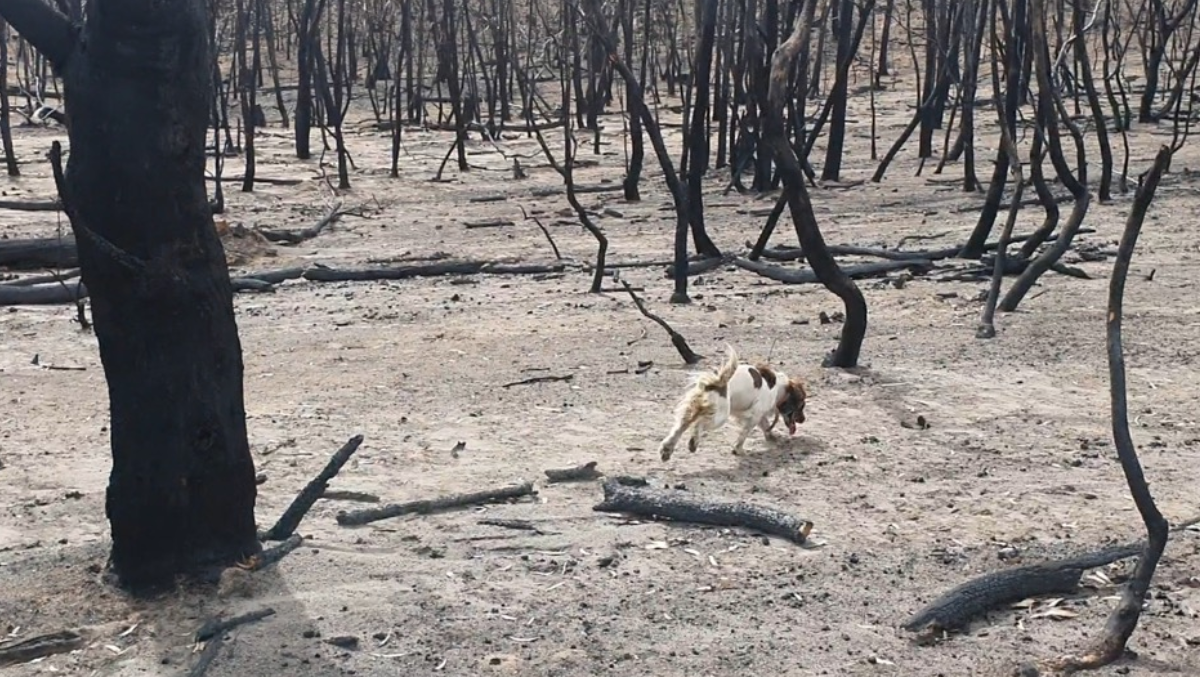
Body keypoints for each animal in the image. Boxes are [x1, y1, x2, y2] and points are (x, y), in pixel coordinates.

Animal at [657, 345, 806, 463]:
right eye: (802, 405)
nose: (803, 420)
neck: (779, 388)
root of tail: (718, 382)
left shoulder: (758, 415)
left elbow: (766, 427)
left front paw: (772, 438)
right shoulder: (754, 415)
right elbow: (744, 434)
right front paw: (738, 449)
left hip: (693, 408)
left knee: (680, 427)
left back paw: (667, 450)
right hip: (720, 416)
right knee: (698, 424)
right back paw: (693, 442)